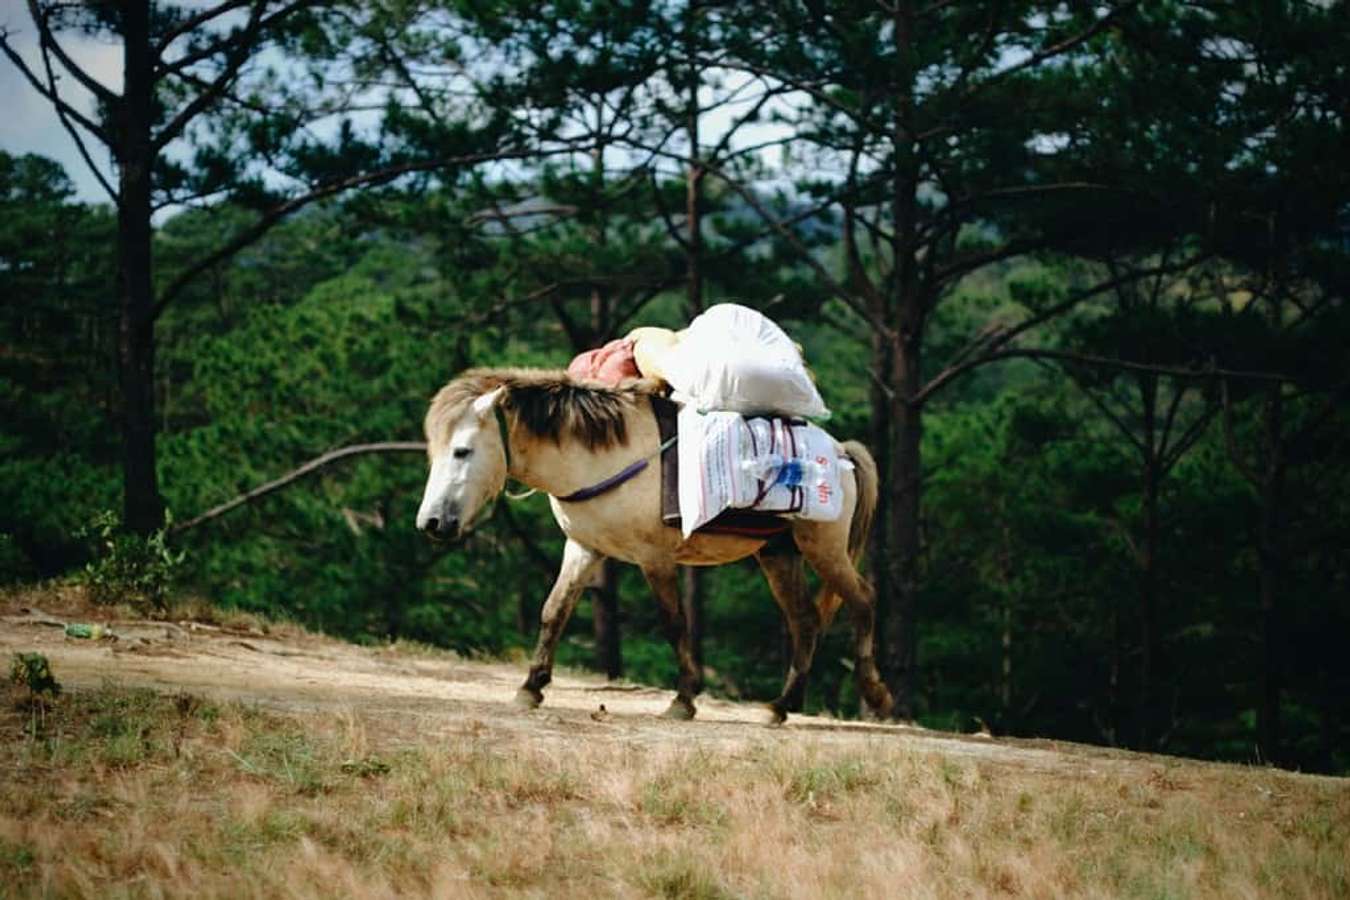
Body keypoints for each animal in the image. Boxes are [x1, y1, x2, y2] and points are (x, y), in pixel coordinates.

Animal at [415, 367, 891, 723]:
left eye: (461, 451)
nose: (432, 522)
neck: (603, 455)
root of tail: (842, 454)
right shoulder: (583, 548)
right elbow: (554, 611)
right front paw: (530, 687)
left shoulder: (655, 558)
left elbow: (674, 622)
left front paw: (684, 699)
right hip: (778, 554)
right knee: (805, 620)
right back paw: (781, 705)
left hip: (823, 547)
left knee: (864, 600)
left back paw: (876, 694)